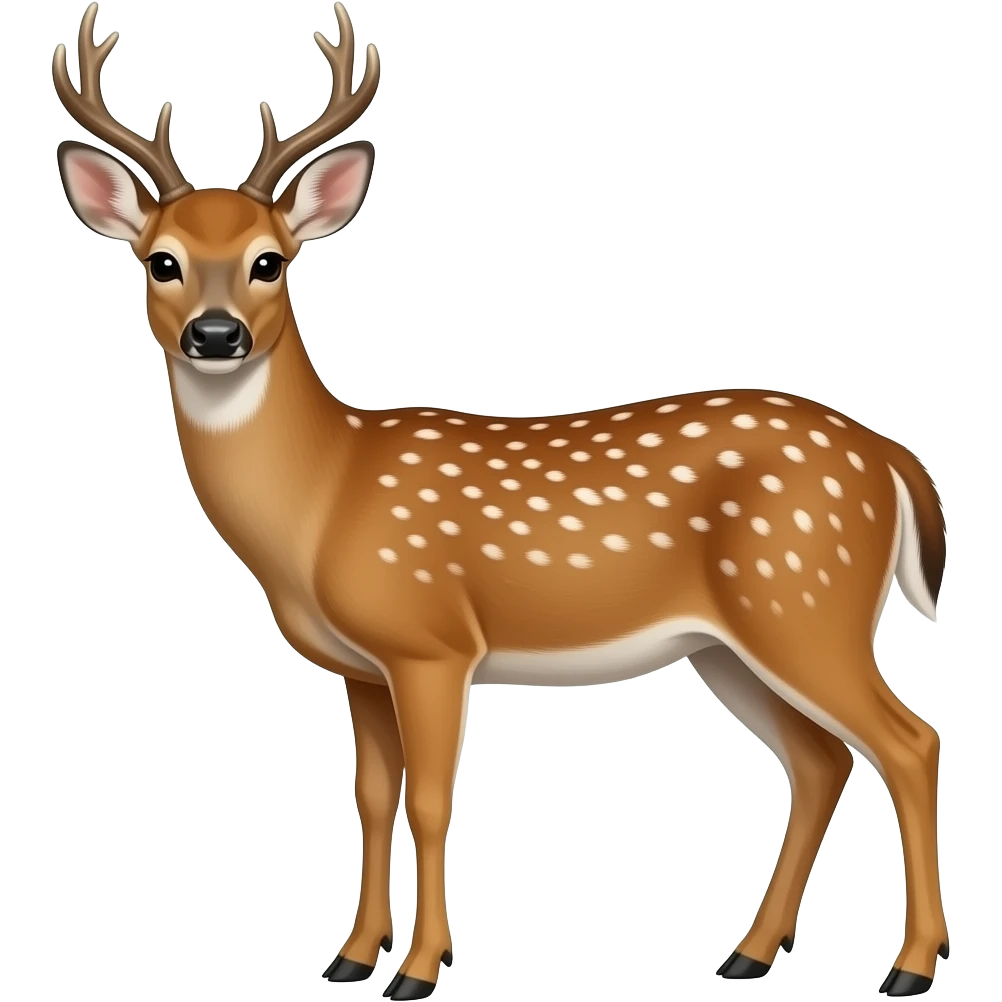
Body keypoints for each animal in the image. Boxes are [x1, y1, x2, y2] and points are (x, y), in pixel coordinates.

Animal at [52, 5, 950, 999]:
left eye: (270, 263)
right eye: (161, 261)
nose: (217, 336)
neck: (325, 498)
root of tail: (892, 458)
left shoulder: (433, 640)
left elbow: (431, 800)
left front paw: (419, 969)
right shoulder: (363, 667)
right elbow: (372, 797)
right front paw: (350, 956)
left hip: (806, 600)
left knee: (909, 742)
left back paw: (908, 967)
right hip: (730, 644)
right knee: (822, 759)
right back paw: (748, 954)